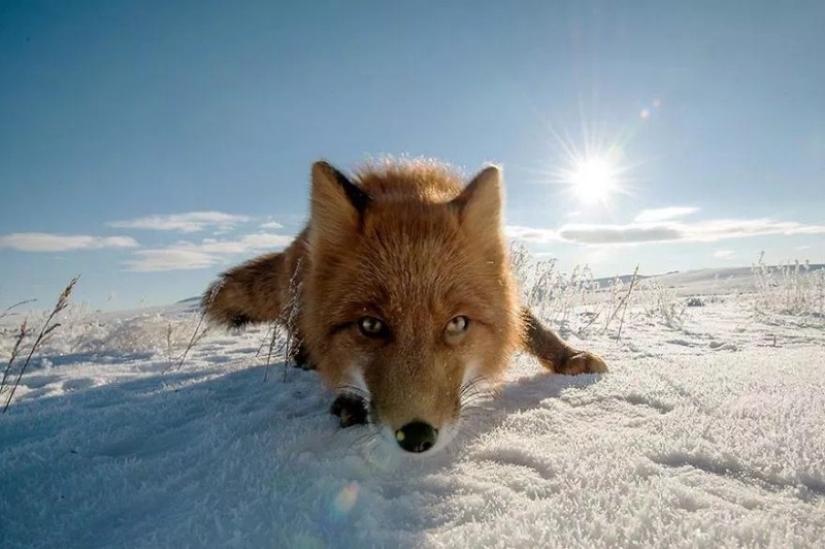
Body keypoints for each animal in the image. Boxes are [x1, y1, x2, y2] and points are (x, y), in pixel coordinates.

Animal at [203, 157, 608, 454]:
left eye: (457, 324)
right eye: (369, 326)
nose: (416, 438)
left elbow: (533, 328)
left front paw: (569, 357)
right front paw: (349, 399)